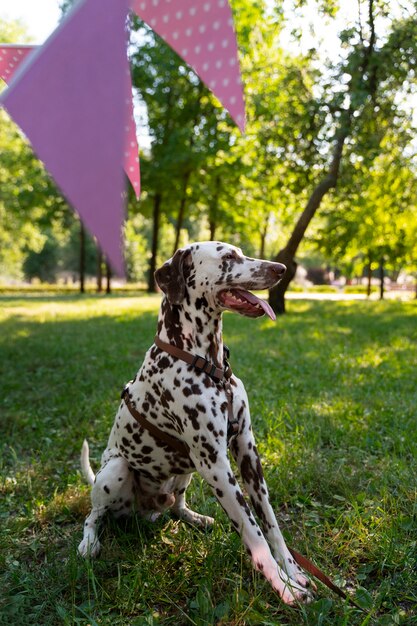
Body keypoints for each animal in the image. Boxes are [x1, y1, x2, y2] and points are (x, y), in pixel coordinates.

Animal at [78, 240, 314, 604]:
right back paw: (89, 542)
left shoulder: (247, 452)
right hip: (115, 471)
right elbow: (254, 533)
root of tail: (146, 509)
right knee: (94, 515)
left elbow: (271, 524)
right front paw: (284, 587)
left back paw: (195, 517)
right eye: (229, 256)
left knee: (177, 506)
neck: (208, 364)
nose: (282, 268)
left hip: (185, 472)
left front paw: (294, 571)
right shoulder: (216, 464)